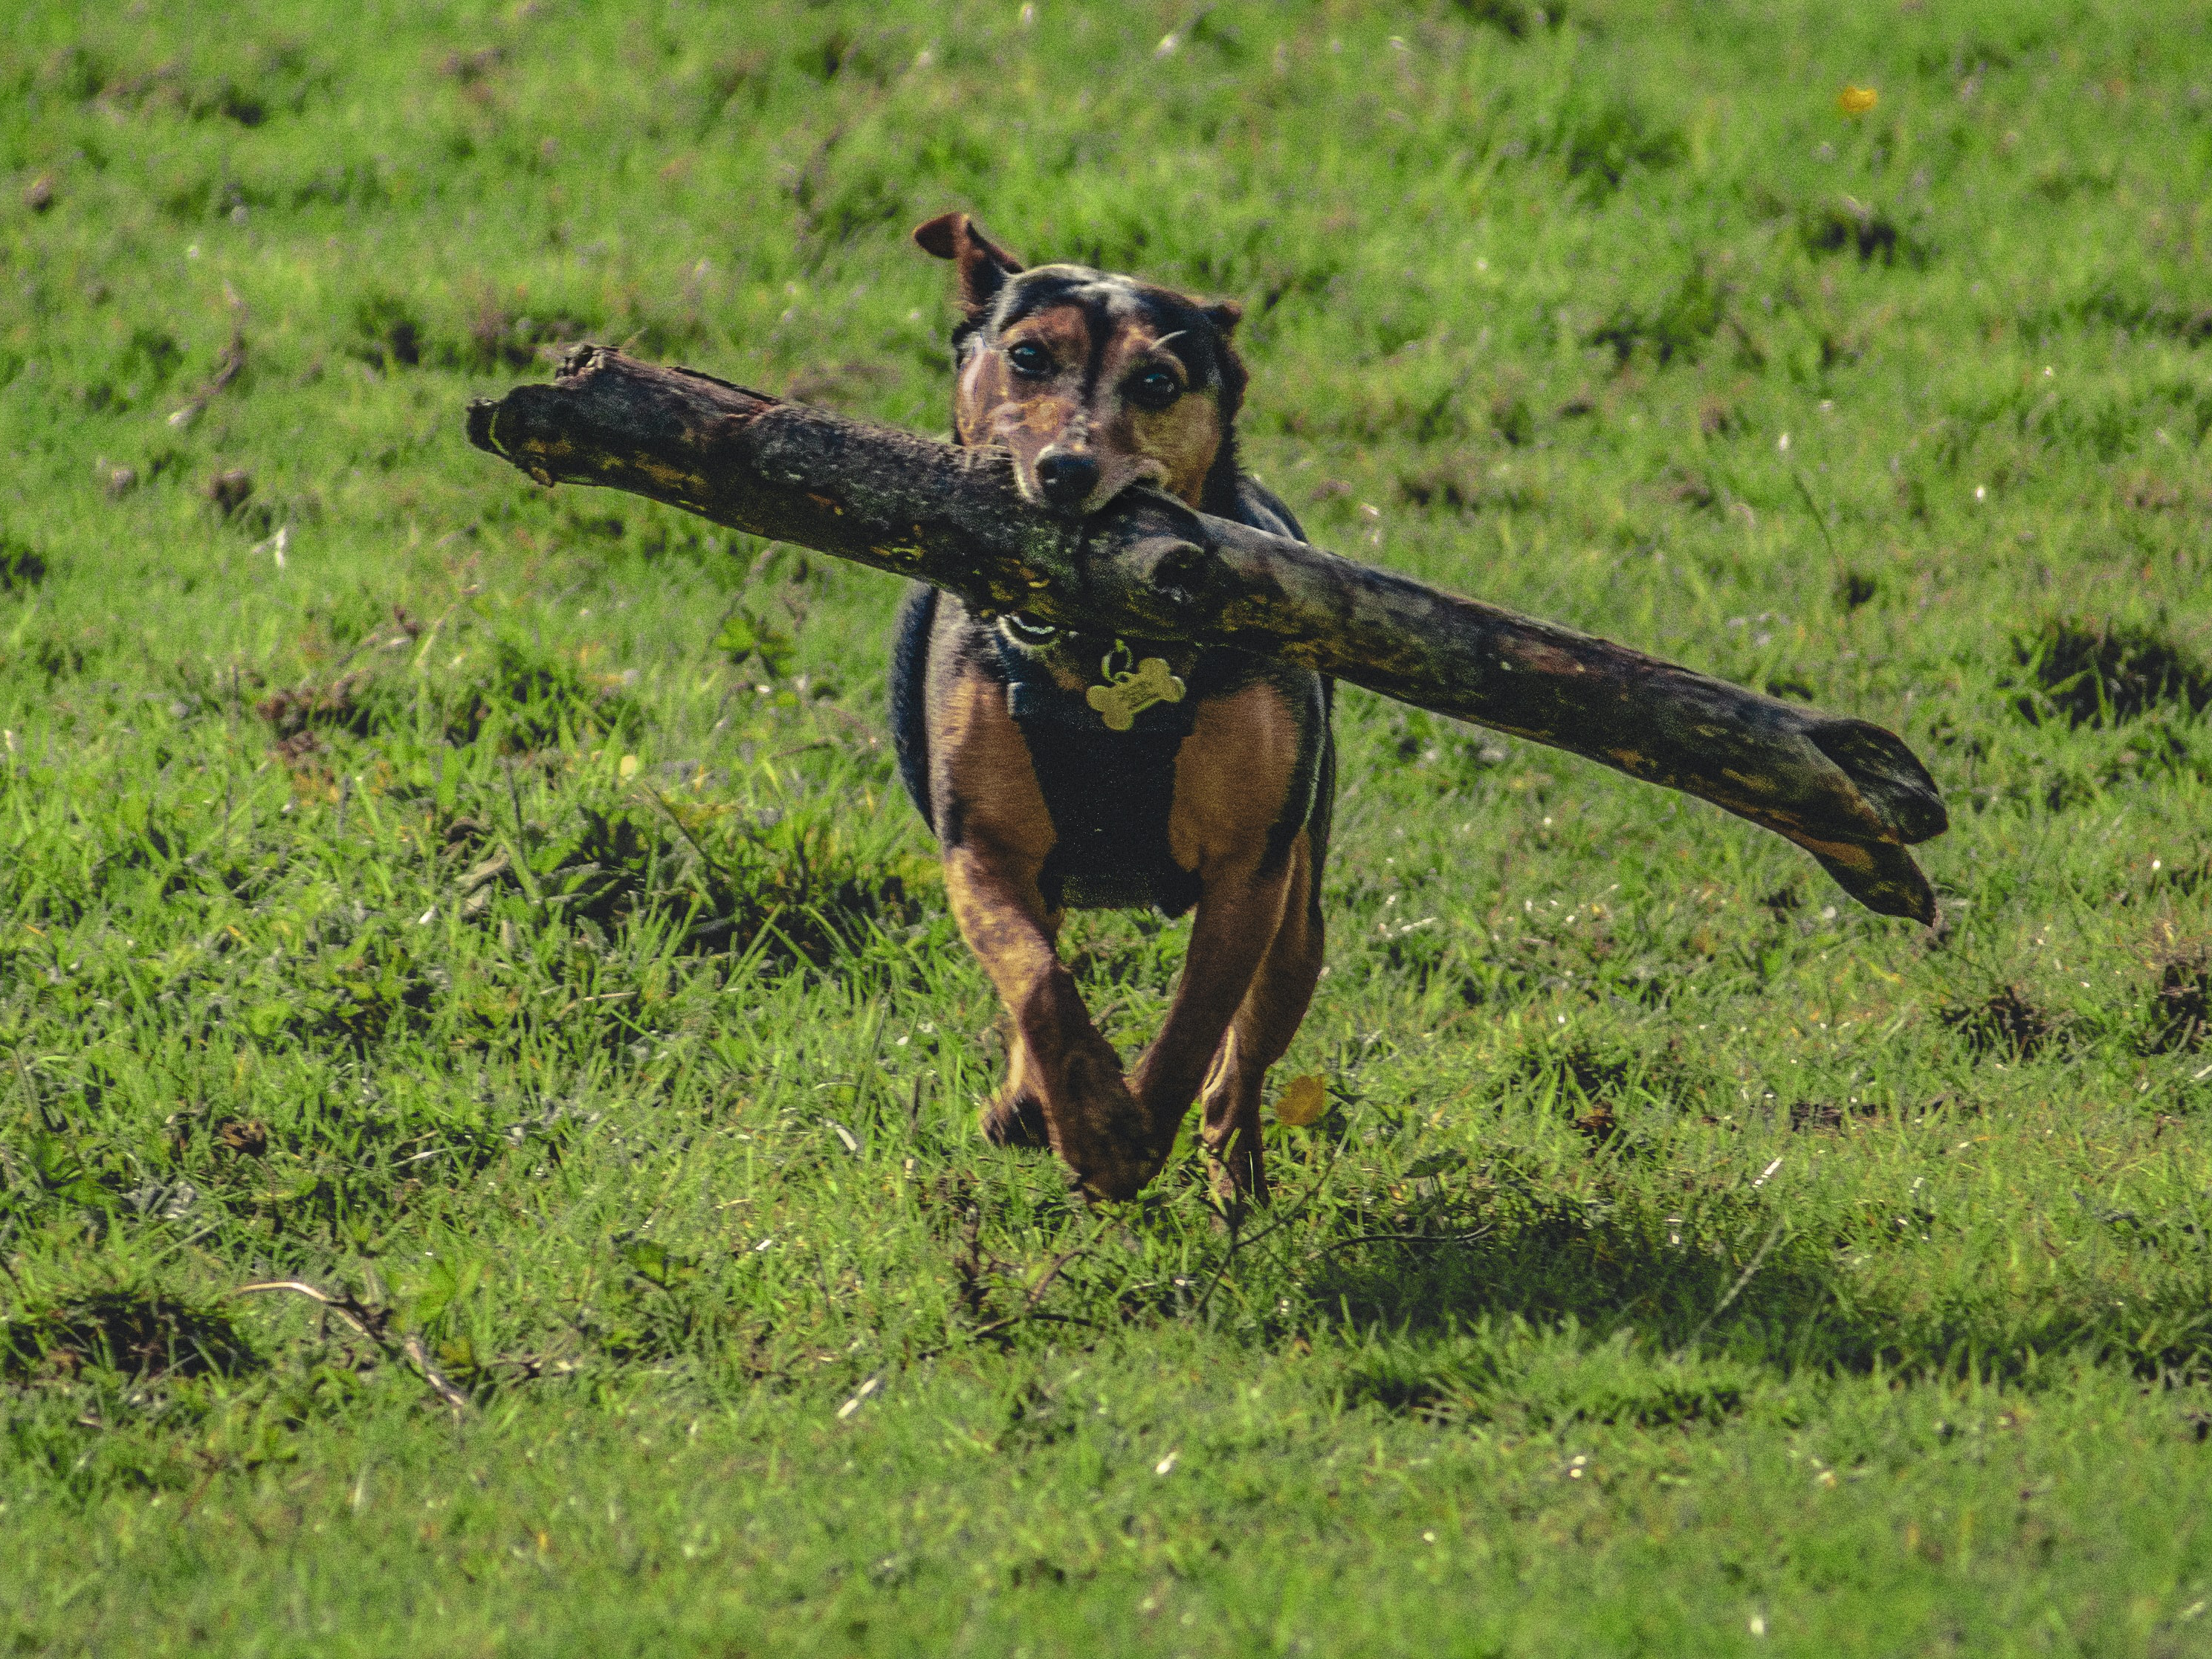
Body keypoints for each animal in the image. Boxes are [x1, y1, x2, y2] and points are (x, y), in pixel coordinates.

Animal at [889, 218, 1336, 1212]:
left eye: (1158, 383)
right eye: (1026, 357)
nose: (1066, 471)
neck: (1099, 652)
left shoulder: (1250, 870)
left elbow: (1198, 1020)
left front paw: (1129, 1138)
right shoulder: (980, 847)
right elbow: (1037, 982)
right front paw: (1082, 1115)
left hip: (1301, 915)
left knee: (1245, 1056)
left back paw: (1234, 1174)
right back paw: (1030, 1104)